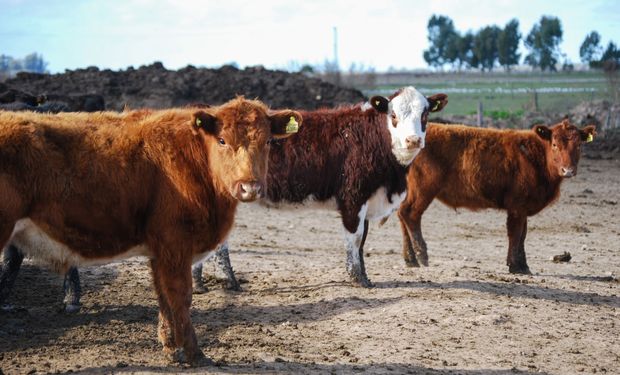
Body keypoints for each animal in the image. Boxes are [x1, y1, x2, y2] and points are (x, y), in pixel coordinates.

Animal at [0, 98, 302, 366]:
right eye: (222, 140)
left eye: (267, 142)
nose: (249, 187)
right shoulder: (175, 244)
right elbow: (180, 297)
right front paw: (195, 354)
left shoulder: (160, 251)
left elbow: (164, 297)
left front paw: (171, 348)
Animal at [398, 122, 596, 274]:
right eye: (554, 144)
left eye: (579, 145)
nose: (568, 170)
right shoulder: (517, 206)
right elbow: (515, 234)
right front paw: (516, 266)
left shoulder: (522, 208)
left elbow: (522, 235)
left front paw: (522, 265)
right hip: (423, 189)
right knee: (411, 215)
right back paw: (422, 256)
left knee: (401, 215)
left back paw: (410, 259)